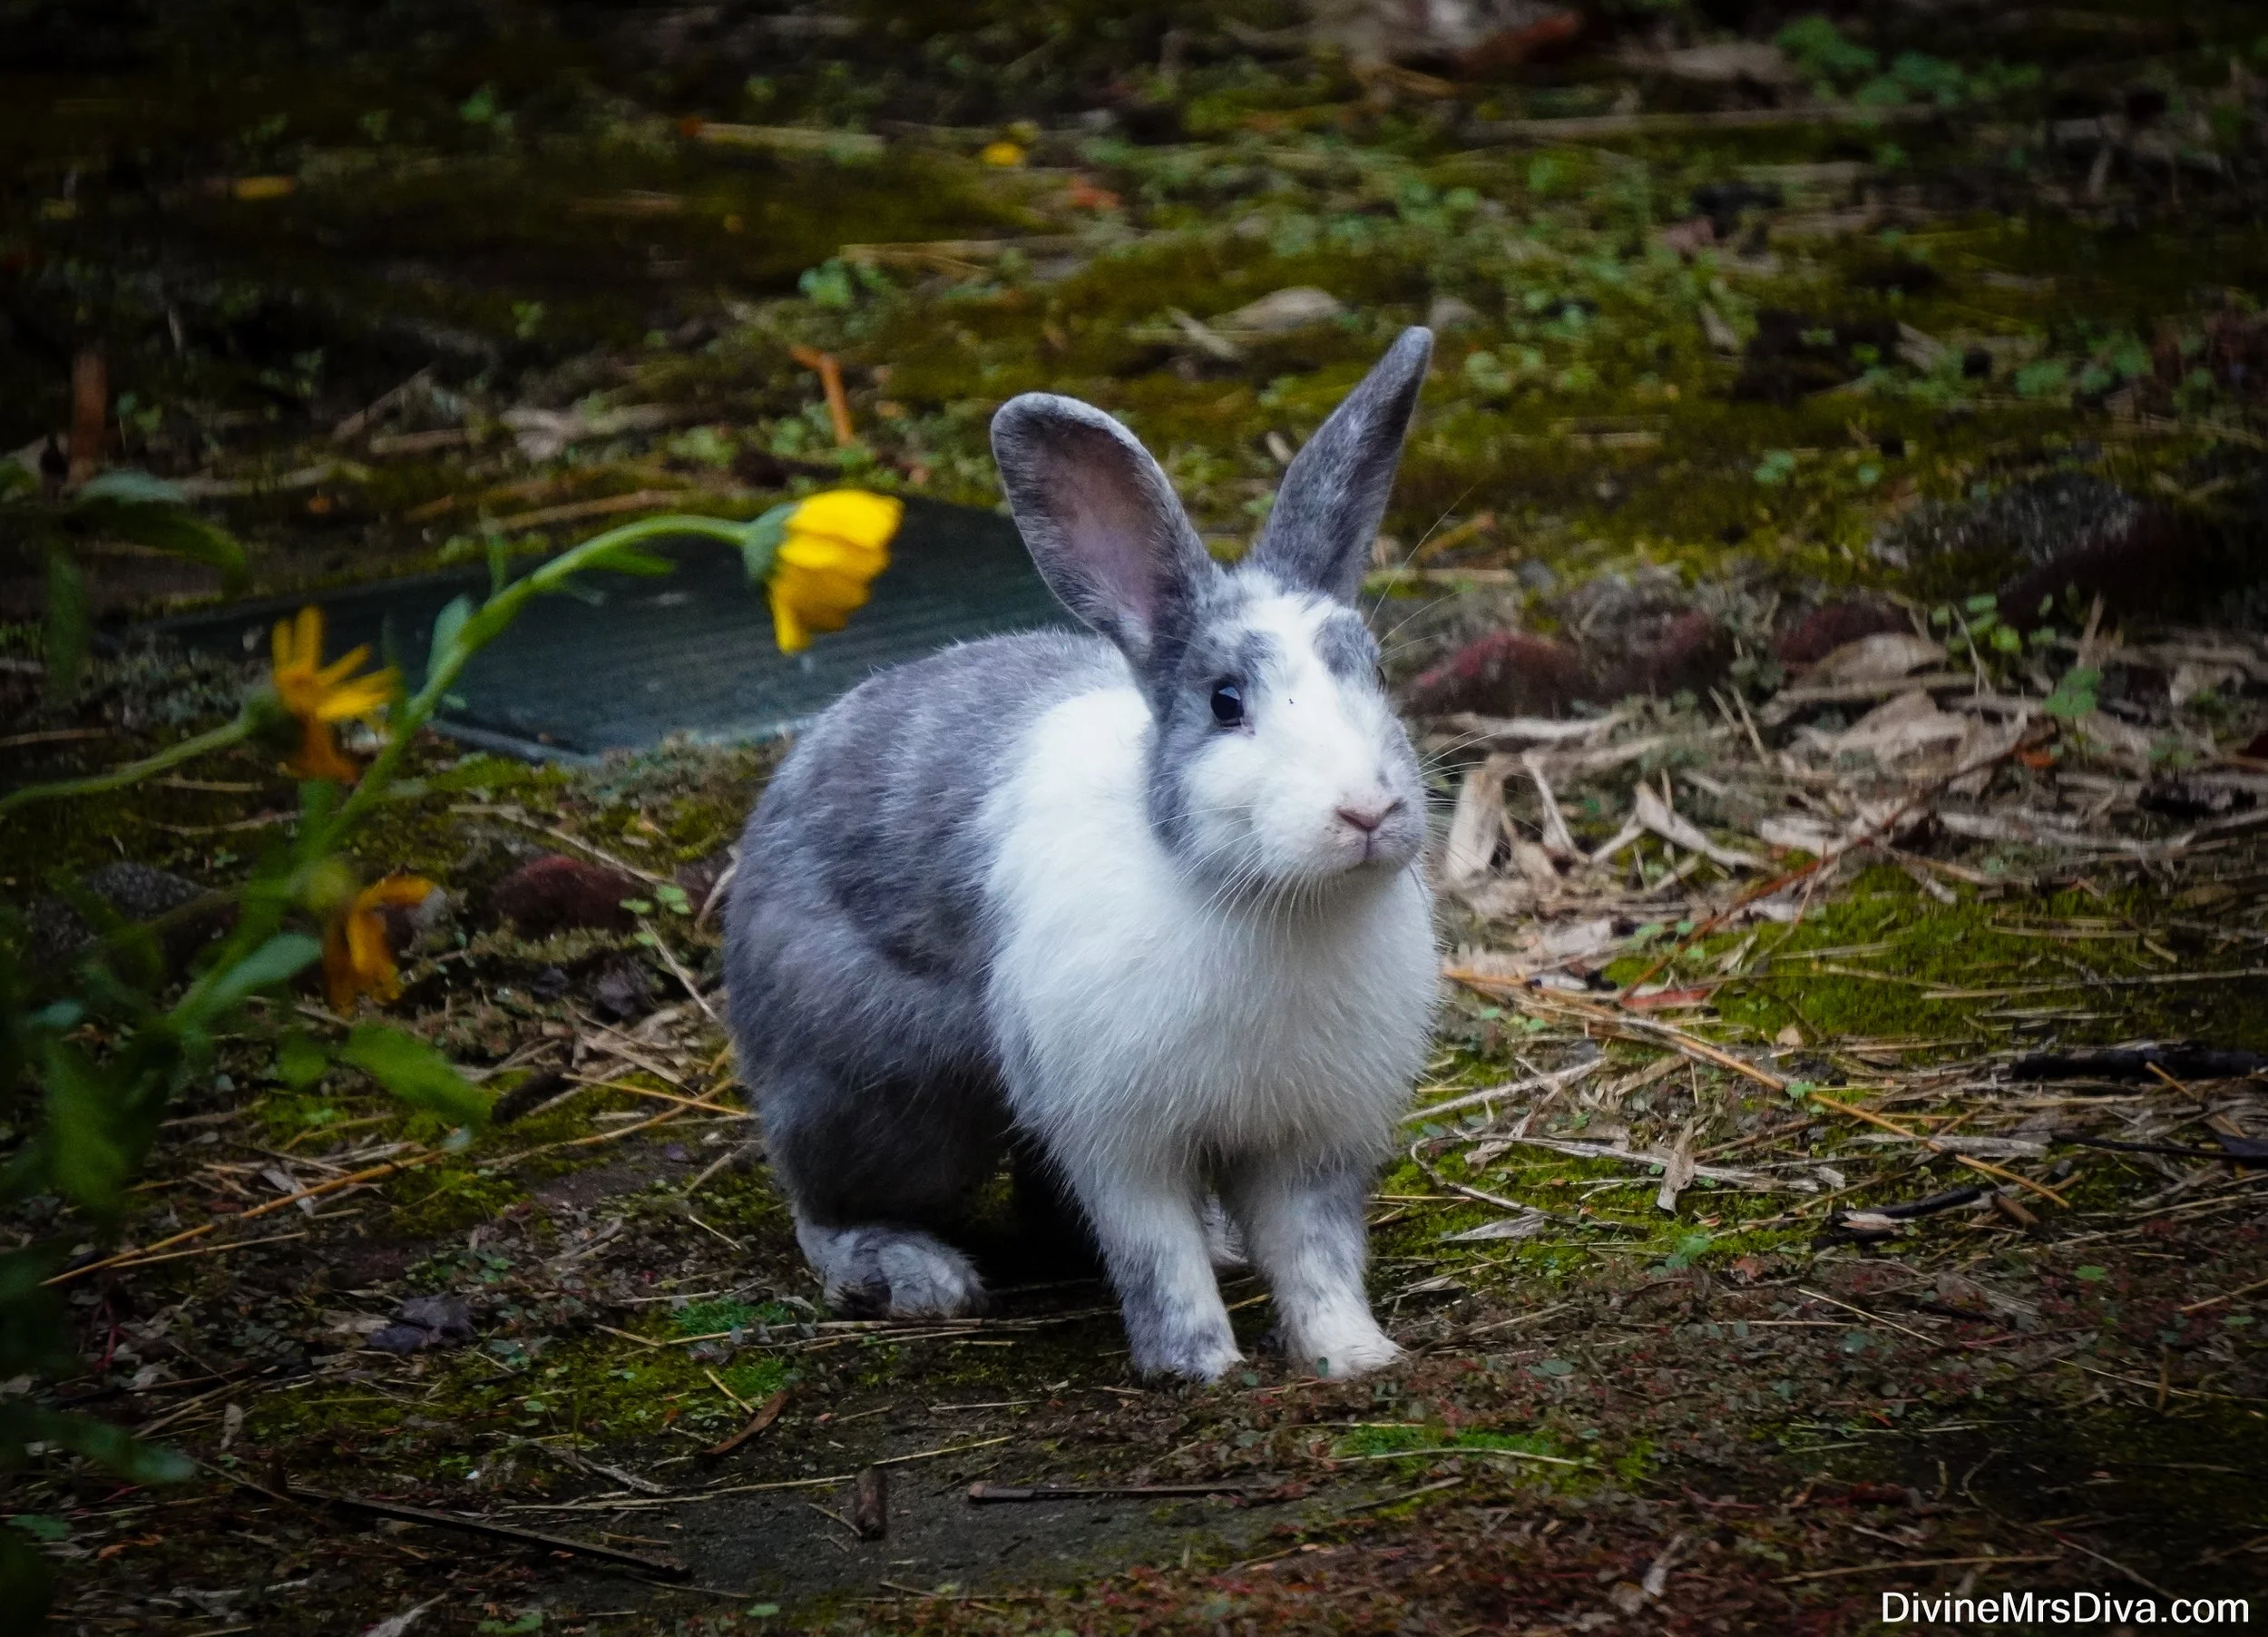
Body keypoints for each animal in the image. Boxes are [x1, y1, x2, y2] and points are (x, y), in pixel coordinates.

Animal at [722, 327, 1440, 1382]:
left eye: (1376, 672)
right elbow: (1155, 1254)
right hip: (882, 1099)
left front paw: (1355, 1355)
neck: (1262, 898)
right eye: (1226, 702)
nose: (1368, 810)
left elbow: (1315, 1257)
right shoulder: (1119, 1137)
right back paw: (910, 1271)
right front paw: (1200, 1367)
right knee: (822, 1205)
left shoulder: (1309, 1144)